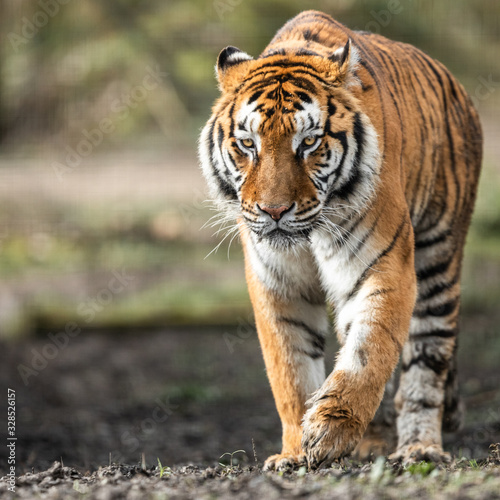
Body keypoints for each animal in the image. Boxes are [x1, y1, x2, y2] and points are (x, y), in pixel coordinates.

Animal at [197, 9, 482, 470]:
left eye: (309, 142)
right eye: (248, 144)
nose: (274, 211)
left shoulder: (382, 267)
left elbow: (368, 352)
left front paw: (331, 430)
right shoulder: (278, 286)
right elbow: (290, 373)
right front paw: (295, 452)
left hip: (439, 258)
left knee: (425, 364)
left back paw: (419, 448)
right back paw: (374, 442)